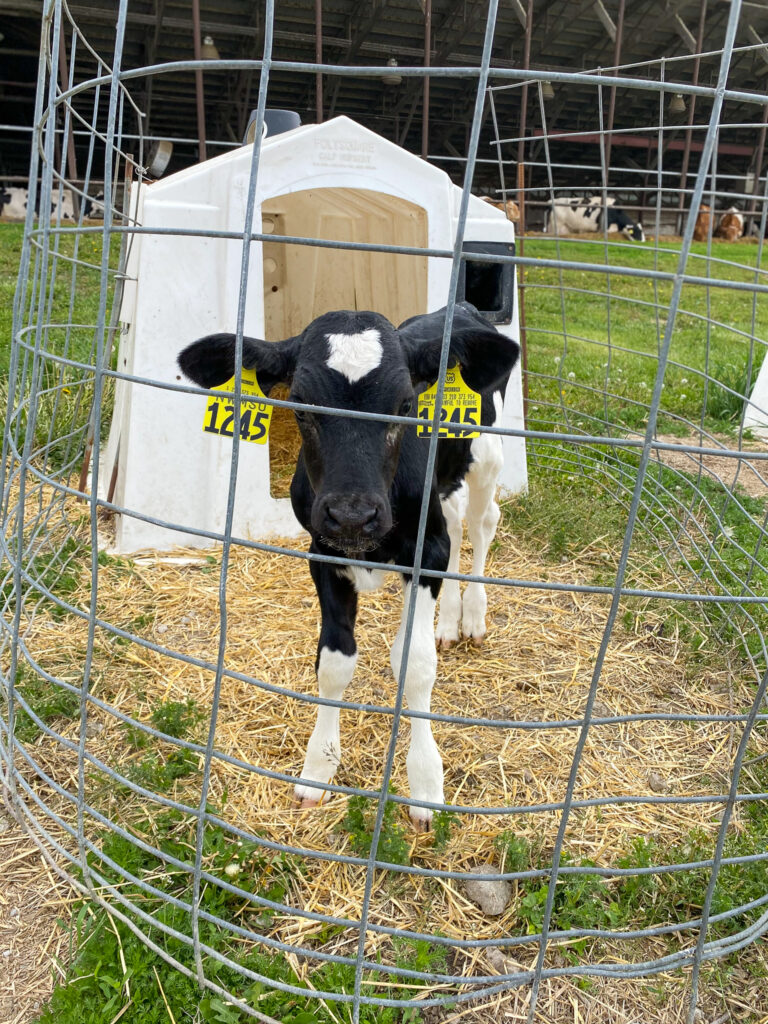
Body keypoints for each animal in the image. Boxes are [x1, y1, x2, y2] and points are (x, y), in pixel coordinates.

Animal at [178, 303, 519, 830]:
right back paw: (448, 624)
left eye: (405, 405)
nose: (353, 514)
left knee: (483, 522)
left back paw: (473, 617)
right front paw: (317, 770)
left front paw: (425, 785)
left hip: (487, 455)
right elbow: (334, 663)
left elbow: (414, 663)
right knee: (459, 524)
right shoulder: (323, 552)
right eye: (300, 404)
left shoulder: (425, 552)